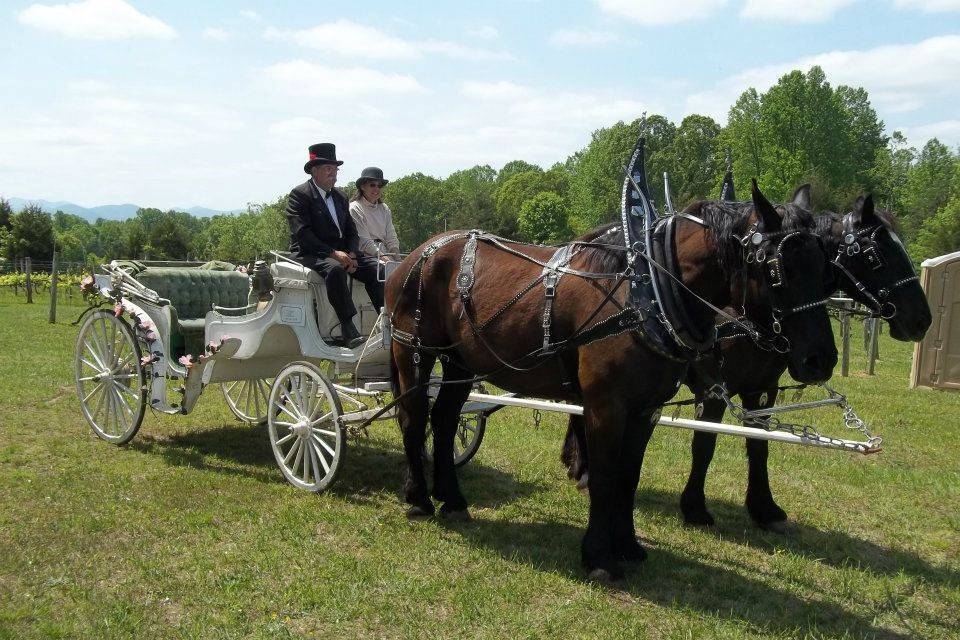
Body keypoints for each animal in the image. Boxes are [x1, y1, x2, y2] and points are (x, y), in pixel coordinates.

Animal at [386, 181, 836, 580]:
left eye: (827, 266)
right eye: (778, 269)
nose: (822, 359)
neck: (643, 295)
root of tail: (418, 254)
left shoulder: (646, 409)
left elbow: (628, 477)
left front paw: (628, 545)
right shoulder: (606, 406)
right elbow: (604, 477)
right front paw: (599, 556)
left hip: (459, 361)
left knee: (444, 421)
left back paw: (452, 498)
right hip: (414, 351)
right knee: (413, 419)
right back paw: (419, 499)